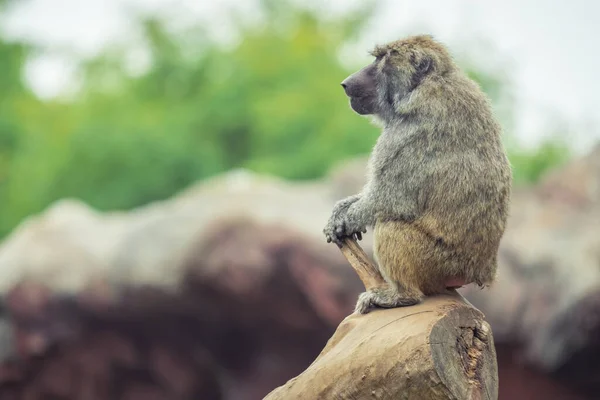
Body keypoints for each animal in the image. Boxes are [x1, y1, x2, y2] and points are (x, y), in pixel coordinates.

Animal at [324, 34, 510, 314]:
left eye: (382, 59)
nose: (346, 83)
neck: (425, 86)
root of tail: (481, 272)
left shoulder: (407, 135)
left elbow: (390, 198)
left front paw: (347, 219)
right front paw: (340, 210)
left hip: (440, 261)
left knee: (390, 227)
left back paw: (401, 296)